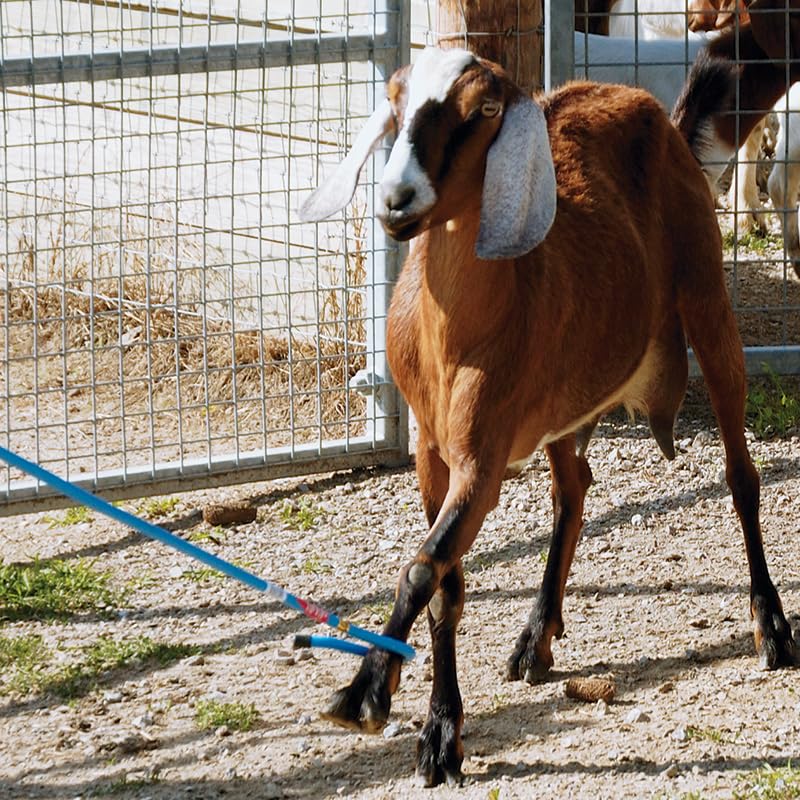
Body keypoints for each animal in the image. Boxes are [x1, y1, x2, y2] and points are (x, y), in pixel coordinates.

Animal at [299, 47, 798, 786]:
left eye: (482, 109)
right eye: (395, 98)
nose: (395, 202)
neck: (454, 335)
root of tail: (659, 115)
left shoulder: (482, 456)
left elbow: (423, 567)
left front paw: (365, 695)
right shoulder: (432, 450)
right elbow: (445, 581)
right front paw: (438, 731)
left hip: (708, 299)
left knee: (742, 477)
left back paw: (772, 627)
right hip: (567, 397)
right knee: (574, 491)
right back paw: (535, 637)